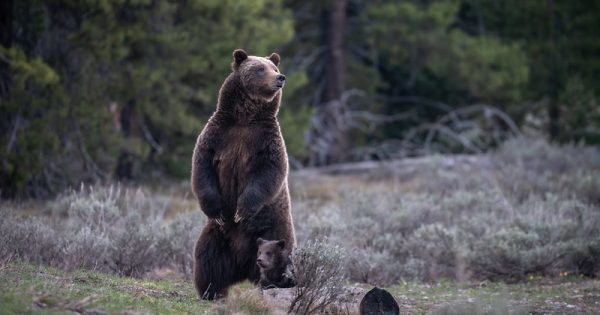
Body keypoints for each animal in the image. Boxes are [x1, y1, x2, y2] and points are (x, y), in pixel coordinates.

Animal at [192, 48, 296, 302]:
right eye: (260, 68)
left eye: (274, 68)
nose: (280, 78)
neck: (245, 117)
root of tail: (243, 266)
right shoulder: (218, 135)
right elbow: (202, 168)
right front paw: (218, 211)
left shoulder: (266, 141)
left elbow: (269, 173)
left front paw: (242, 210)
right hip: (218, 237)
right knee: (207, 260)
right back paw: (211, 291)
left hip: (274, 231)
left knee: (278, 259)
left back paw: (275, 284)